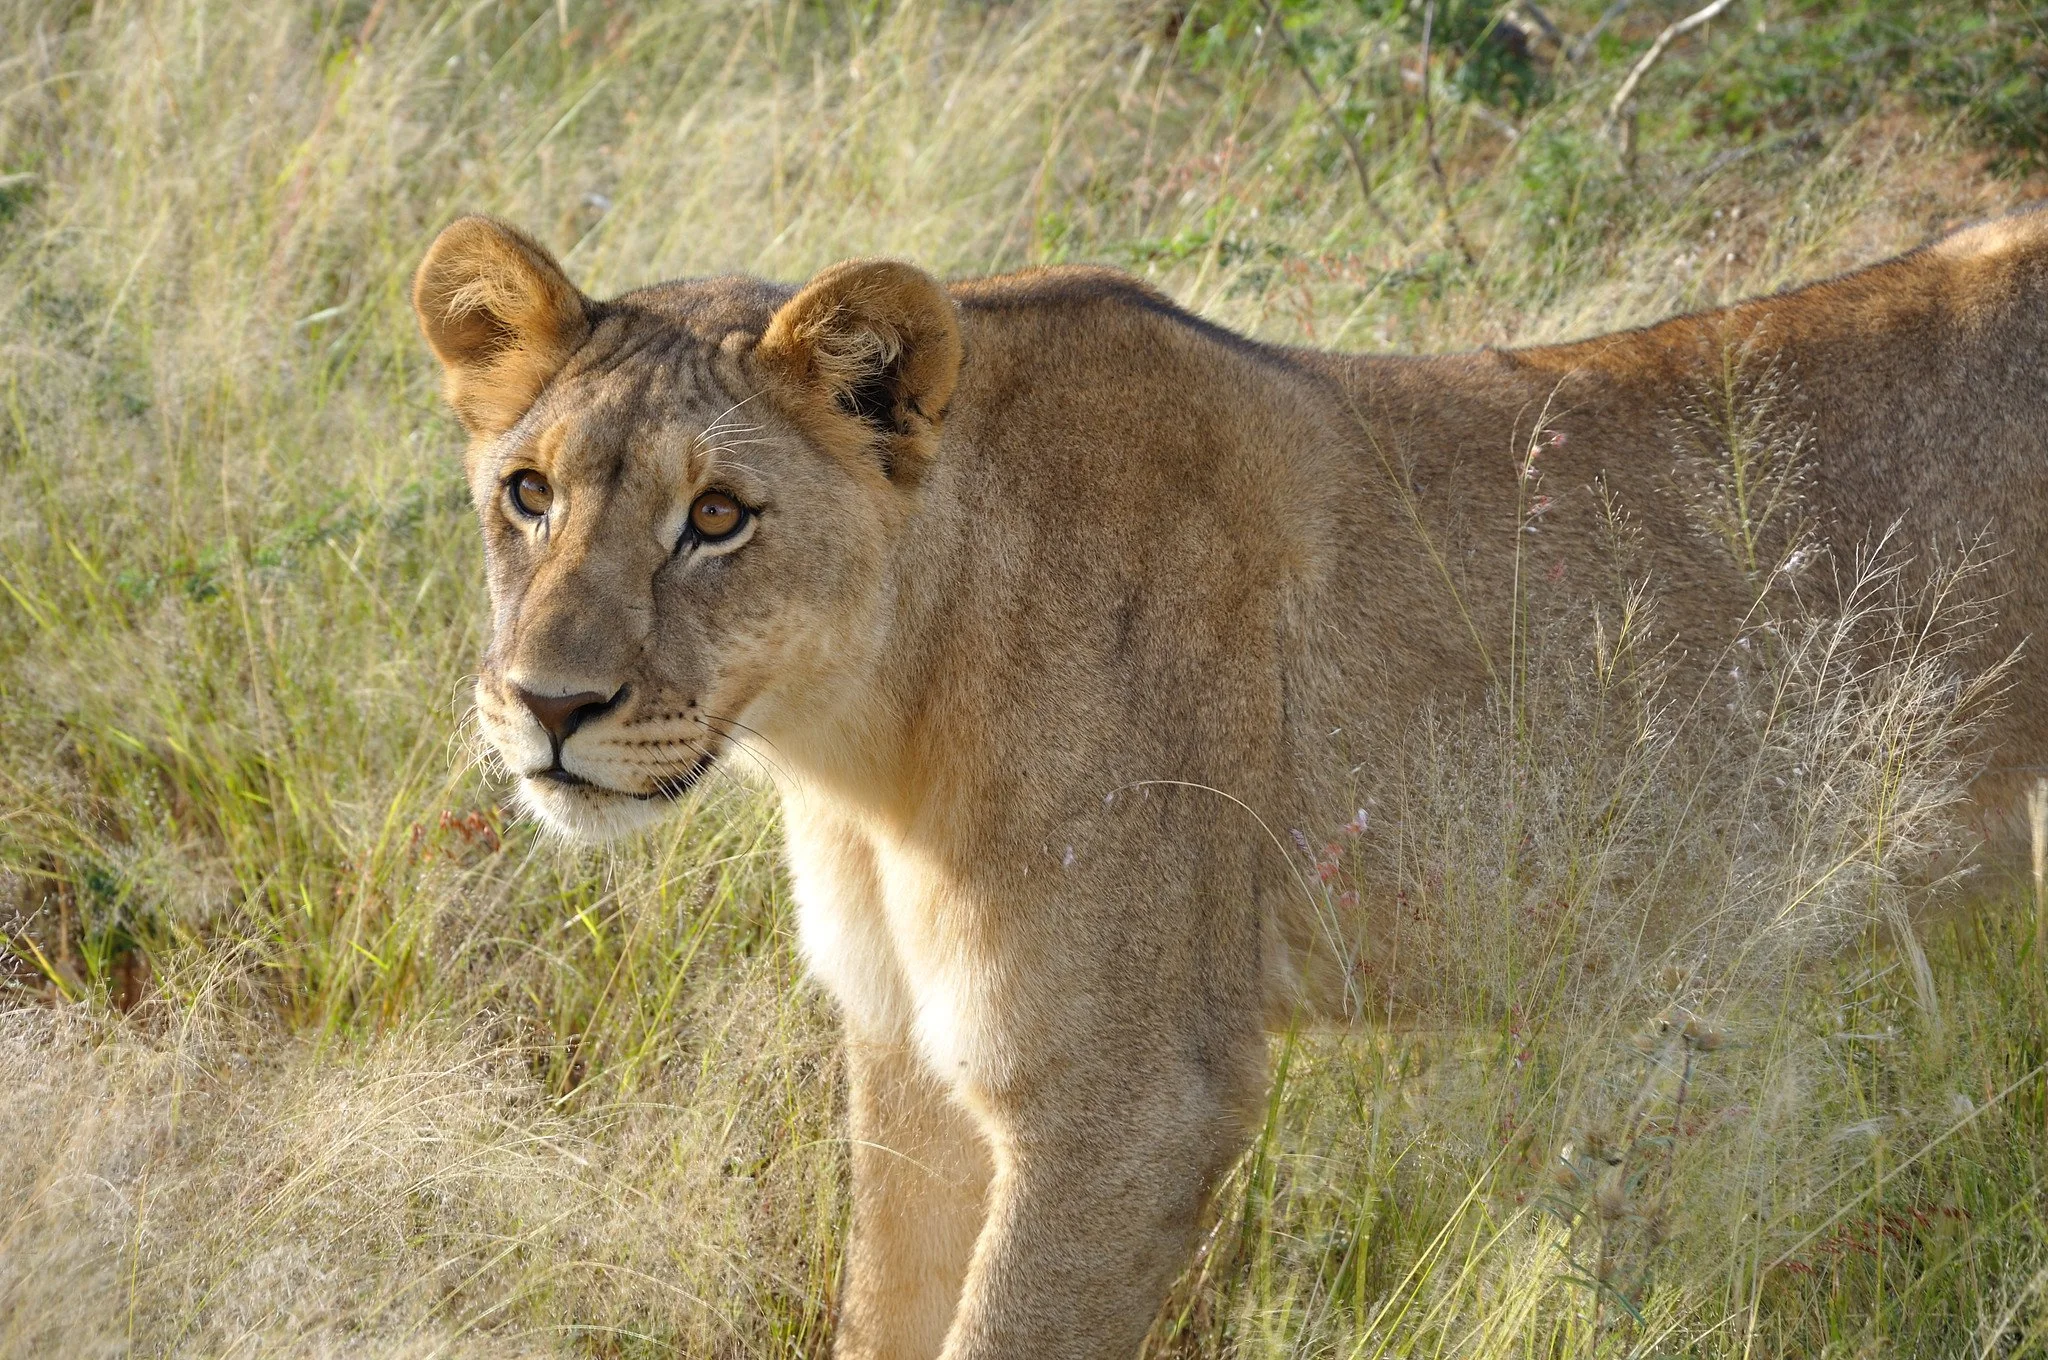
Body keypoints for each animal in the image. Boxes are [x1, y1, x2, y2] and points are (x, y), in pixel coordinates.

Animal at [412, 205, 2048, 1359]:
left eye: (720, 518)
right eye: (528, 494)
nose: (547, 707)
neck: (860, 745)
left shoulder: (1130, 1097)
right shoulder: (903, 1051)